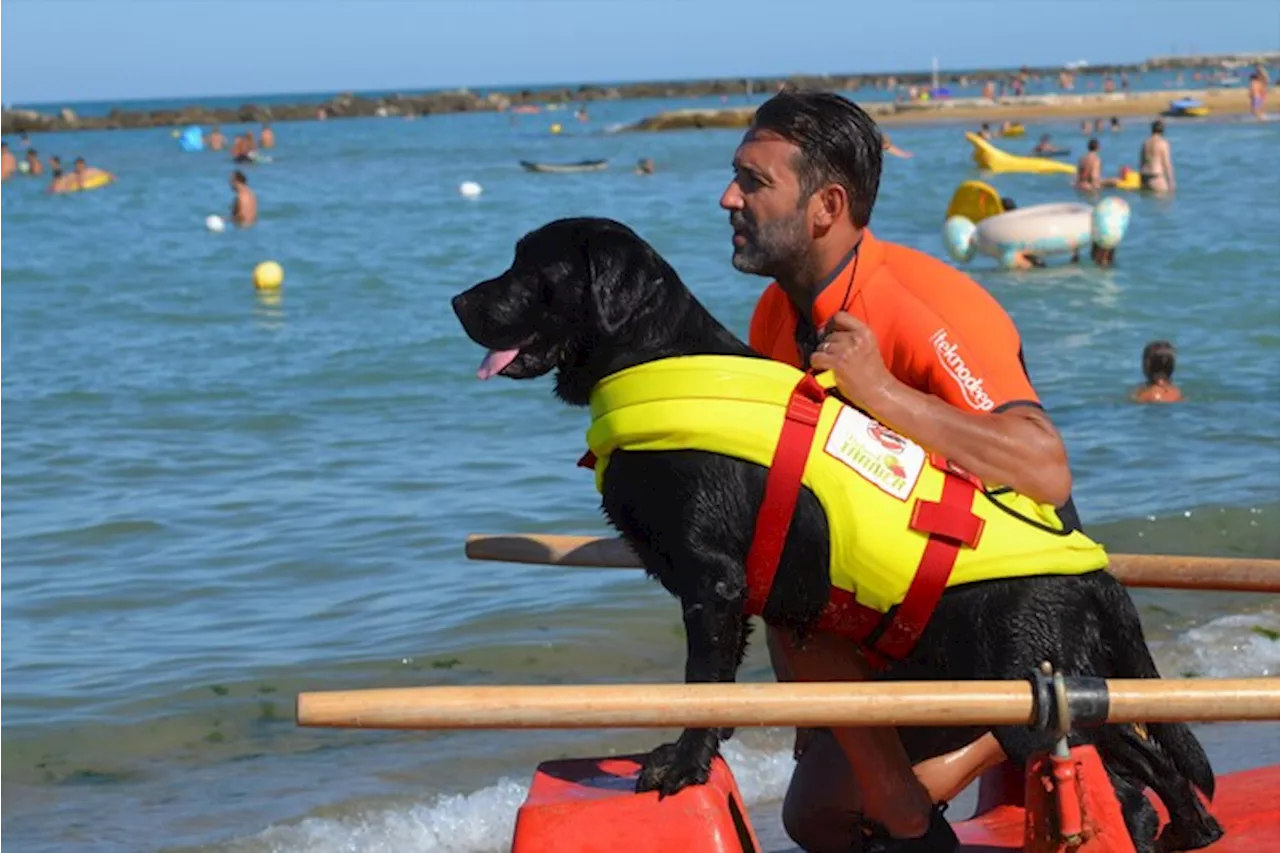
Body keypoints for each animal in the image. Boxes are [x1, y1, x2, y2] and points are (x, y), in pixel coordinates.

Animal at [450, 216, 1218, 845]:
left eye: (530, 267)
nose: (457, 302)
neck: (652, 355)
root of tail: (1096, 572)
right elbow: (718, 682)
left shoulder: (711, 580)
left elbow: (701, 681)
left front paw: (684, 765)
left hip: (1028, 689)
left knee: (1139, 765)